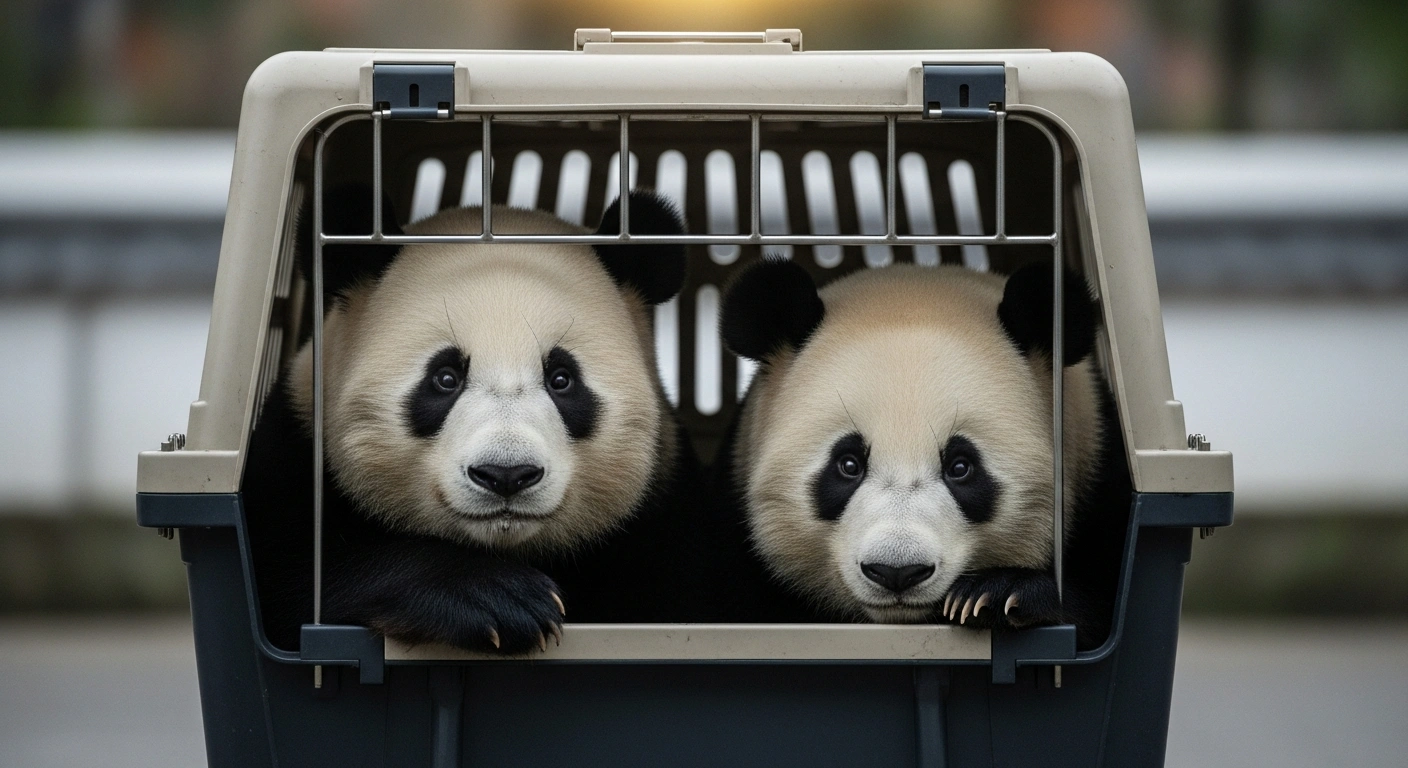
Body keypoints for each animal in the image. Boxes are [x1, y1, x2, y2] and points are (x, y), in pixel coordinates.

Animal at [243, 185, 706, 654]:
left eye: (562, 379)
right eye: (445, 378)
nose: (506, 474)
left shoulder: (664, 507)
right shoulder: (295, 448)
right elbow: (291, 576)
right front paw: (498, 599)